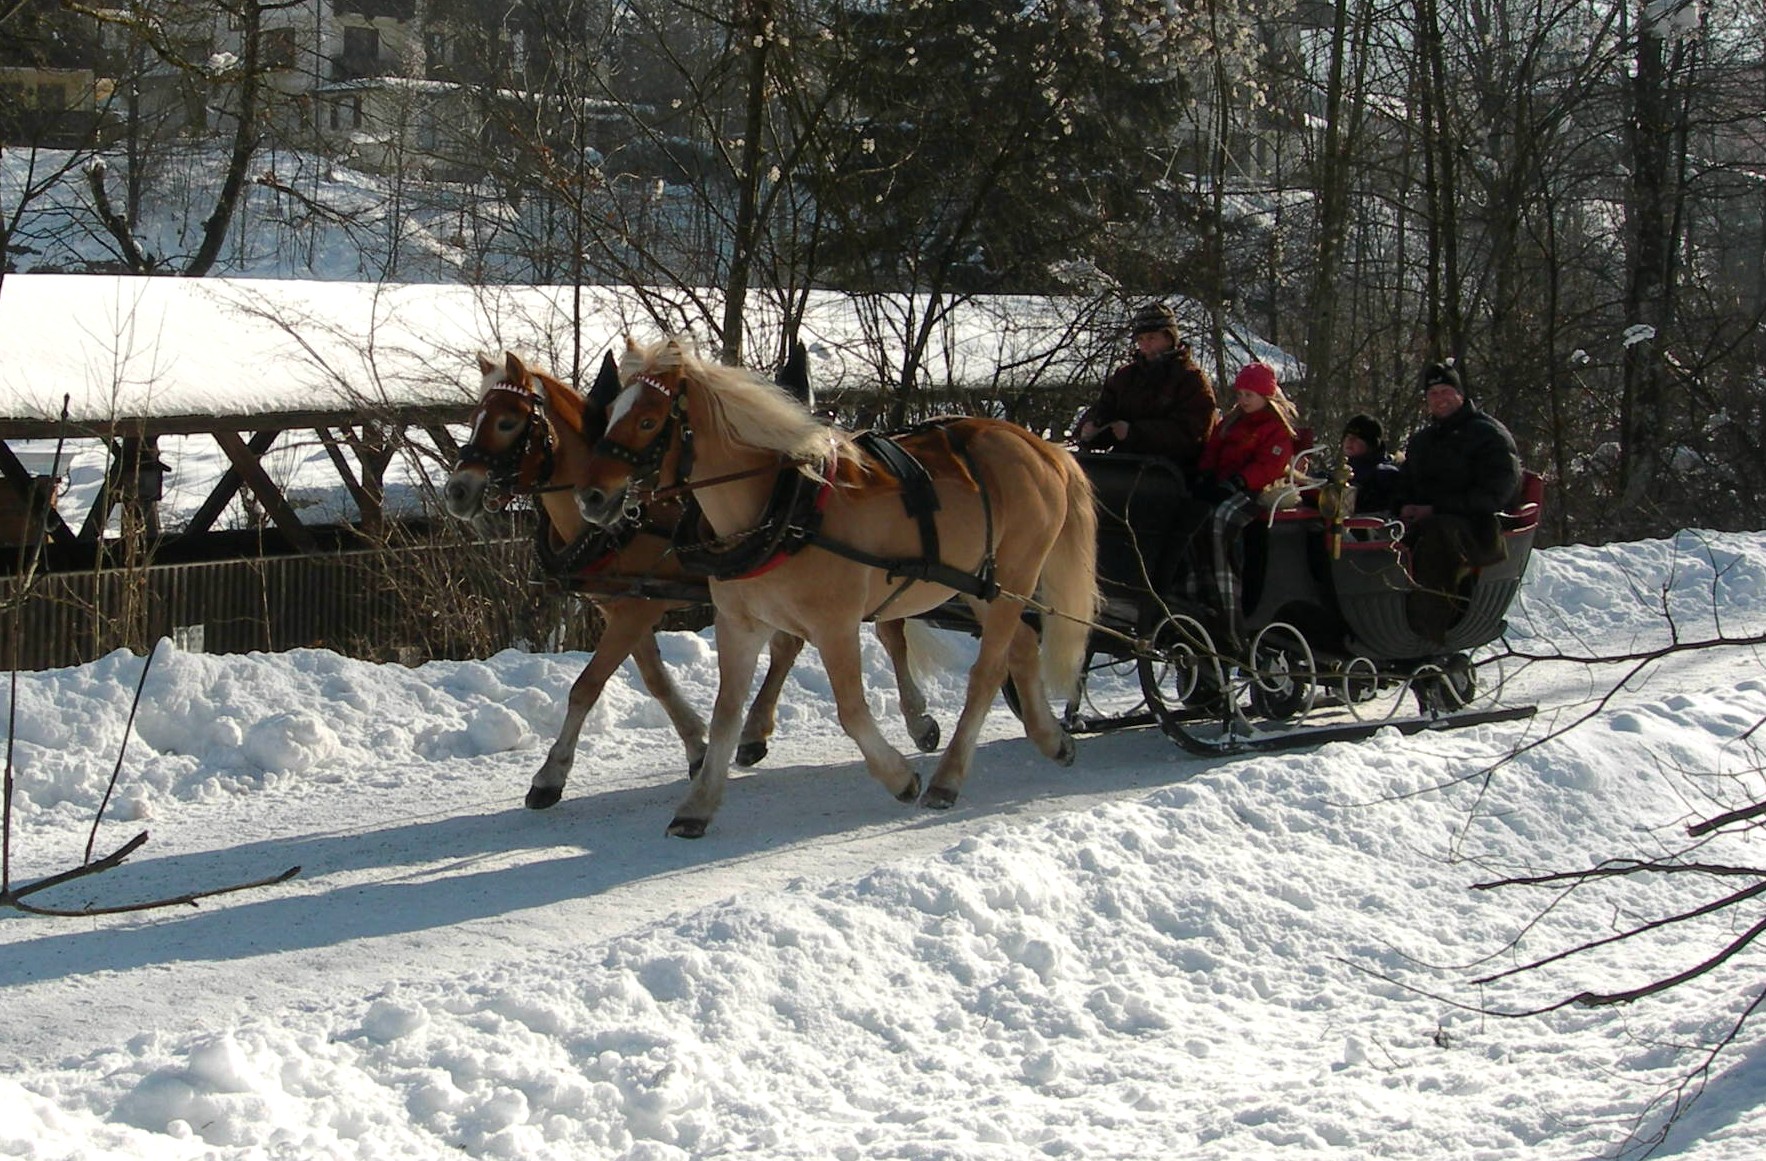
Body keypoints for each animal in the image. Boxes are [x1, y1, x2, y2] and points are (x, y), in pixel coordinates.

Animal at [439, 348, 939, 809]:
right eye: (472, 418)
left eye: (507, 421)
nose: (457, 491)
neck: (620, 523)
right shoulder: (626, 607)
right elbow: (656, 682)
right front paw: (699, 747)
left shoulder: (637, 611)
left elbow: (586, 687)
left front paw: (550, 776)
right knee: (791, 643)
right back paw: (754, 732)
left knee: (889, 632)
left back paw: (918, 720)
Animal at [579, 335, 1094, 834]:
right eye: (612, 411)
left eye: (649, 420)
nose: (591, 497)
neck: (784, 509)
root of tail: (1041, 448)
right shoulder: (738, 625)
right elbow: (725, 714)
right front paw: (698, 806)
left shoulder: (836, 626)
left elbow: (850, 708)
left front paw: (900, 777)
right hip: (980, 584)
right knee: (1022, 645)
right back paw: (1051, 739)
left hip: (1015, 571)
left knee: (986, 673)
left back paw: (947, 780)